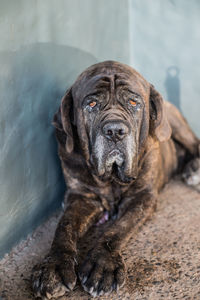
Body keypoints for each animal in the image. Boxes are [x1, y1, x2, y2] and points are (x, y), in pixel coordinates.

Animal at [31, 60, 200, 298]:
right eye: (92, 103)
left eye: (133, 102)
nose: (114, 131)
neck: (110, 179)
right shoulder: (81, 196)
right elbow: (64, 226)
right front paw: (53, 266)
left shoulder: (142, 198)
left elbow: (117, 228)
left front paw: (102, 265)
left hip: (175, 123)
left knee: (195, 144)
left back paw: (194, 170)